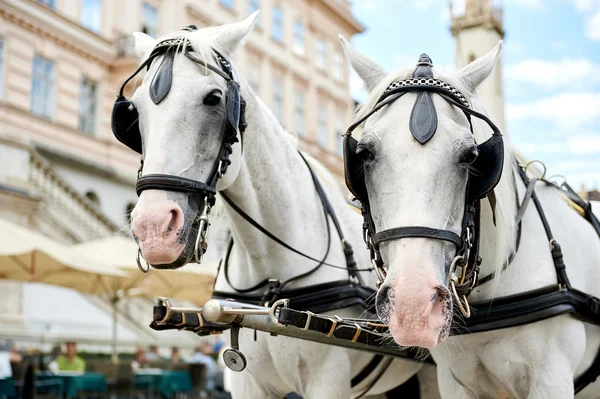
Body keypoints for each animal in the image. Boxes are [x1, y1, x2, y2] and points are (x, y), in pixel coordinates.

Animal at [126, 12, 438, 399]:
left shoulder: (327, 381)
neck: (271, 279)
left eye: (213, 98)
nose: (153, 229)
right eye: (134, 109)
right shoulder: (246, 382)